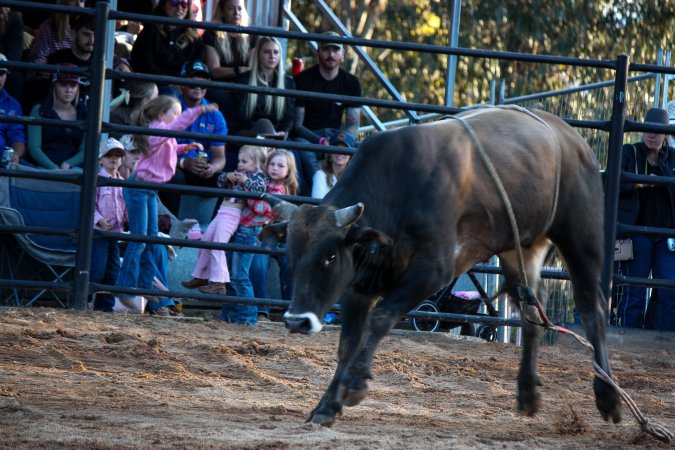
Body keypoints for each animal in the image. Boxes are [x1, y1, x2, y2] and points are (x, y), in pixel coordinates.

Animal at [260, 106, 622, 428]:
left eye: (330, 256)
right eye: (291, 254)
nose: (297, 321)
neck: (398, 188)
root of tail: (572, 139)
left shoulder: (433, 271)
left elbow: (382, 318)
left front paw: (354, 384)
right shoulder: (360, 284)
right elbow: (348, 343)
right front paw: (326, 406)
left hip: (581, 234)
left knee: (592, 309)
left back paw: (609, 397)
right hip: (520, 247)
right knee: (531, 310)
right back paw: (527, 393)